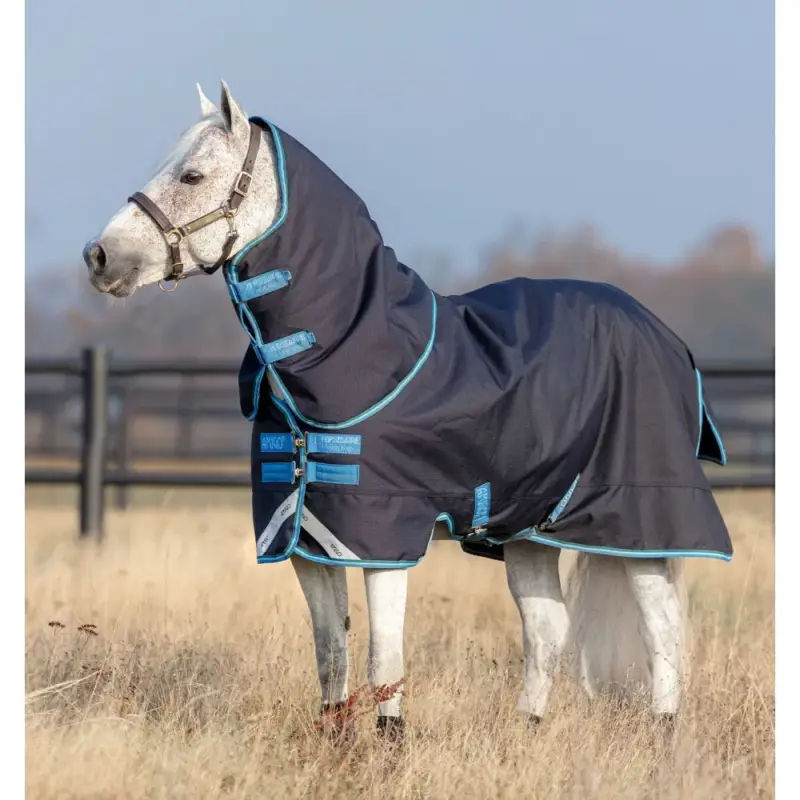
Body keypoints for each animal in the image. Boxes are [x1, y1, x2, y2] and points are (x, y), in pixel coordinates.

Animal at [82, 81, 732, 743]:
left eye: (191, 175)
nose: (100, 256)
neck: (360, 350)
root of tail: (663, 334)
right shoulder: (308, 539)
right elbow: (330, 651)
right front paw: (337, 742)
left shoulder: (382, 538)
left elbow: (383, 658)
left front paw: (390, 745)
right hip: (530, 529)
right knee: (547, 629)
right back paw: (528, 729)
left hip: (644, 521)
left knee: (662, 626)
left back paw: (664, 734)